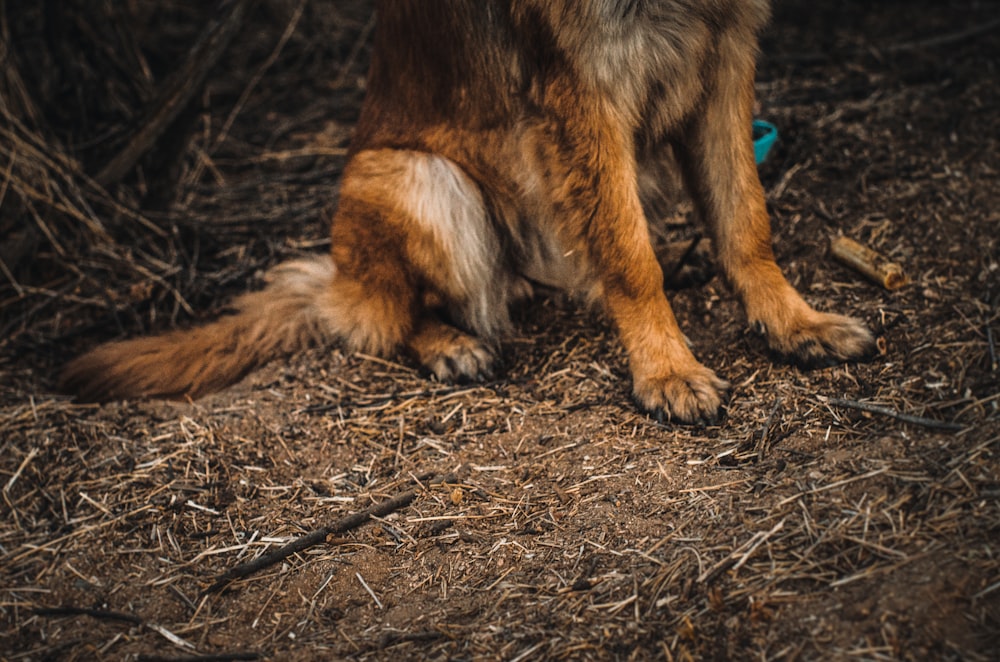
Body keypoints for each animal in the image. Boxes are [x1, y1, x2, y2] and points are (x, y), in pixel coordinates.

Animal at [62, 0, 876, 426]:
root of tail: (341, 279)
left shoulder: (727, 57)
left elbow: (745, 217)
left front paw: (795, 323)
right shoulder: (586, 92)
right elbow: (628, 256)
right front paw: (666, 369)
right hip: (419, 181)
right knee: (386, 319)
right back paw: (449, 343)